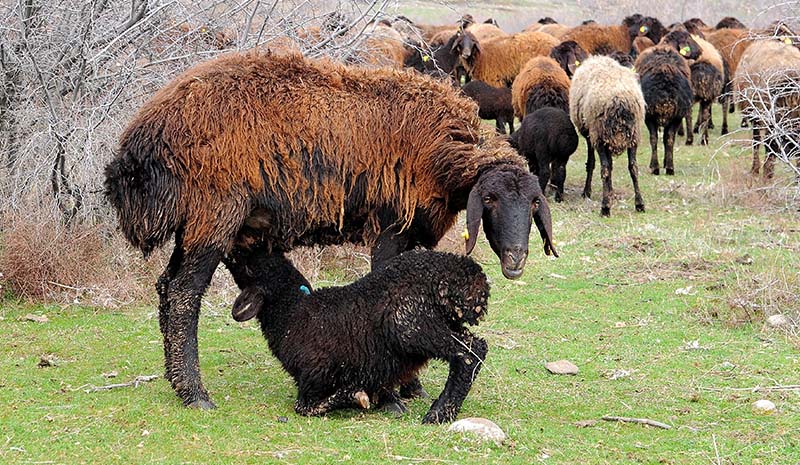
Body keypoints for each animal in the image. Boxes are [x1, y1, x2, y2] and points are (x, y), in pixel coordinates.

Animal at [231, 250, 490, 424]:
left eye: (249, 267)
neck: (293, 315)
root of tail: (468, 278)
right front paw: (387, 401)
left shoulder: (314, 376)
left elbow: (304, 407)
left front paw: (356, 396)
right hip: (444, 324)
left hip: (410, 325)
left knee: (471, 351)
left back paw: (438, 413)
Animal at [568, 55, 644, 215]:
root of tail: (618, 100)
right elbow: (612, 164)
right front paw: (611, 192)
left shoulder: (592, 136)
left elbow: (592, 163)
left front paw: (588, 192)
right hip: (633, 136)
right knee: (633, 167)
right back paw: (640, 204)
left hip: (599, 134)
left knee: (605, 169)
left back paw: (605, 207)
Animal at [636, 30, 696, 176]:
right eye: (689, 38)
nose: (700, 51)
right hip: (675, 116)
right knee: (668, 139)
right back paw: (668, 167)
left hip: (652, 115)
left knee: (656, 138)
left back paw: (656, 167)